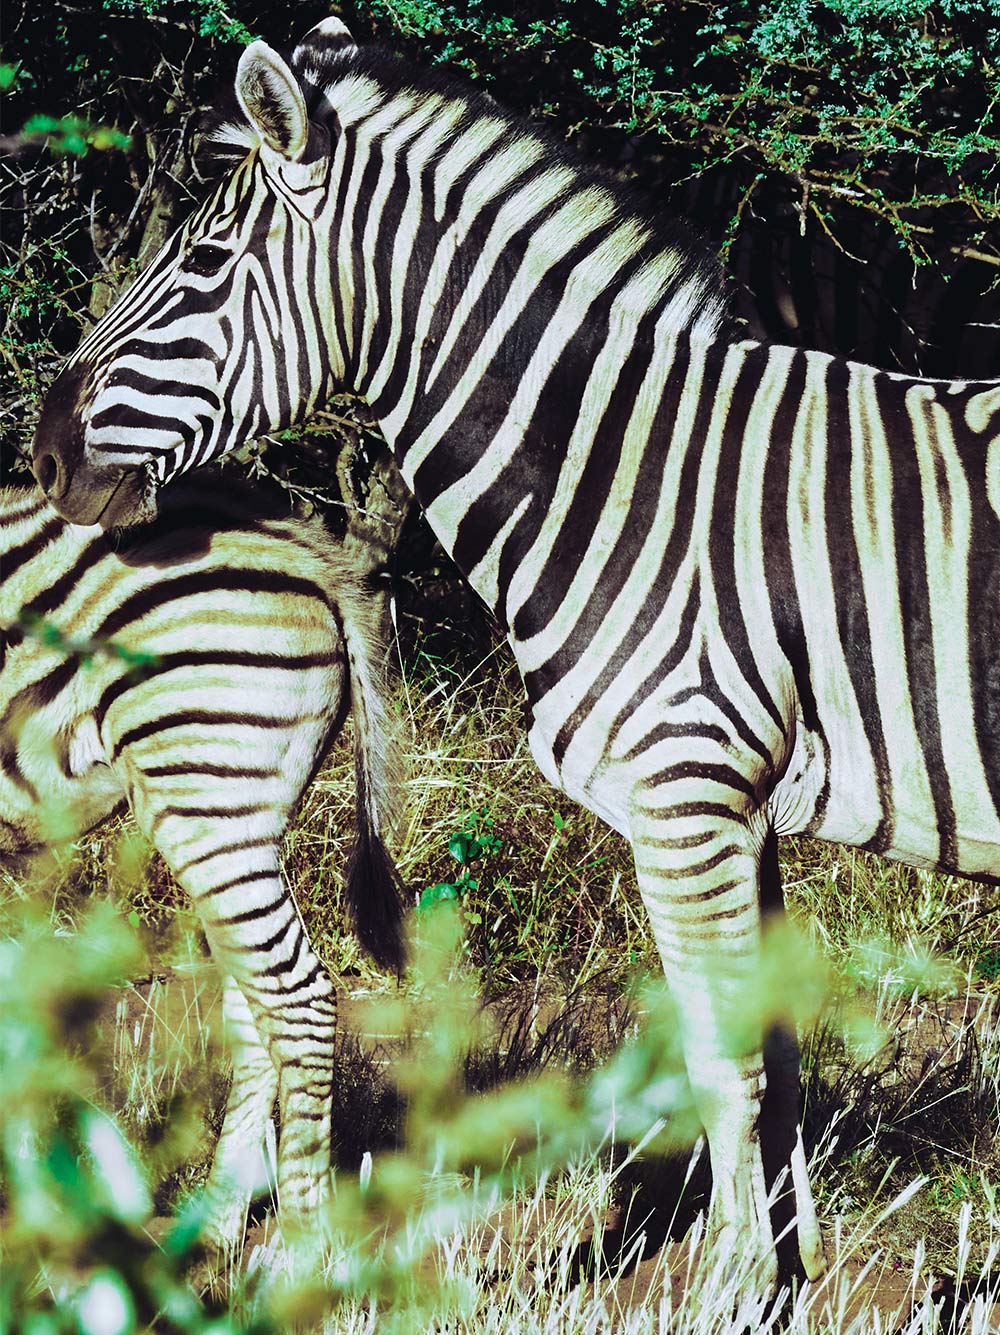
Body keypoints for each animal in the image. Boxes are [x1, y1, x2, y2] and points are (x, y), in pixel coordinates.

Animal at [1, 467, 404, 1244]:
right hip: (241, 816)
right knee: (256, 1007)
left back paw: (302, 1251)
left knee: (299, 1000)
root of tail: (303, 552)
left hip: (202, 796)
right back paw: (212, 1236)